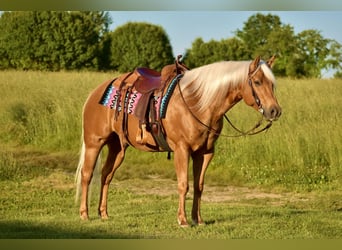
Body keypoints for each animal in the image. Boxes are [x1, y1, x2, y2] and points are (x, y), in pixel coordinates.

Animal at [76, 55, 282, 227]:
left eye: (272, 84)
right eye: (257, 82)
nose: (275, 111)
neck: (198, 102)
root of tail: (96, 92)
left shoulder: (205, 153)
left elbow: (199, 186)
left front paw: (198, 219)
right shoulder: (182, 150)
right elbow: (184, 185)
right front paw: (182, 220)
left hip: (118, 147)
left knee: (106, 175)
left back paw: (103, 213)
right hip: (94, 142)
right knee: (87, 175)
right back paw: (84, 214)